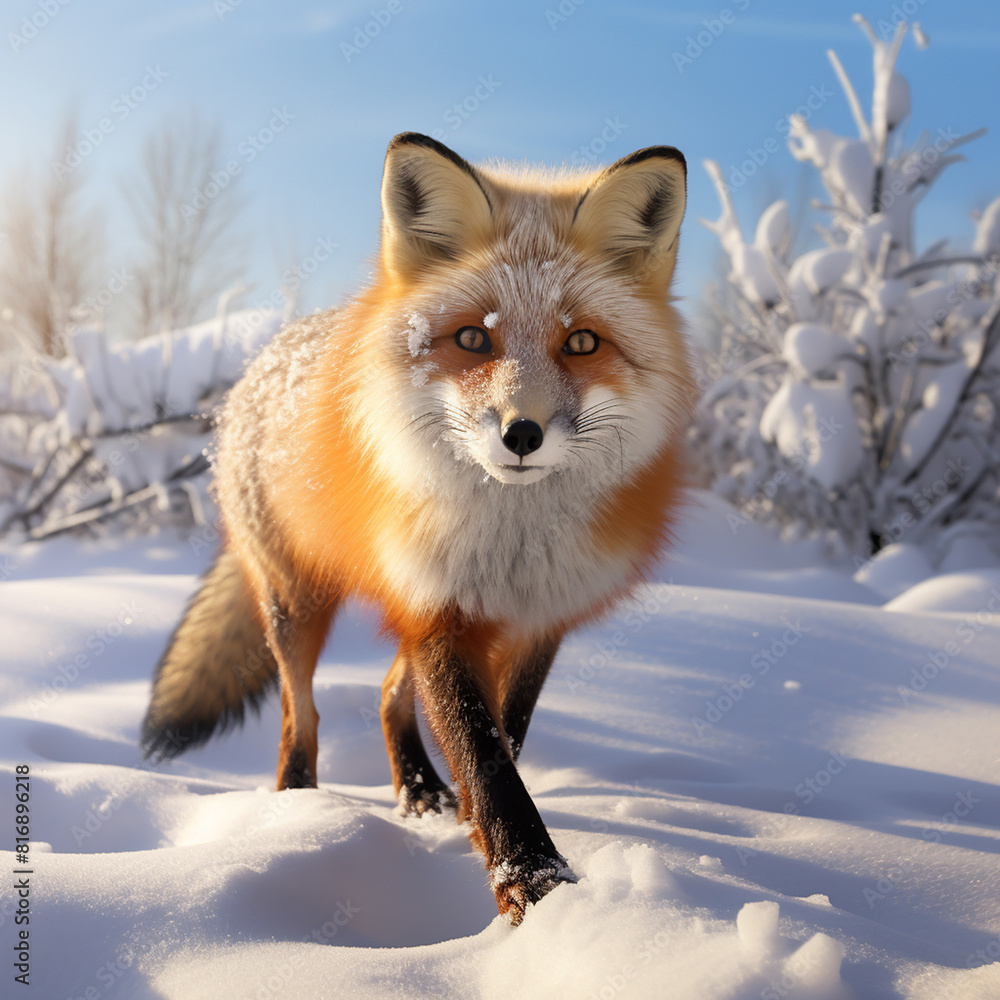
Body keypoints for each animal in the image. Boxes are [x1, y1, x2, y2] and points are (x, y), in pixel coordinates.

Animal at [141, 132, 694, 925]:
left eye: (583, 343)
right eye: (472, 339)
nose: (521, 434)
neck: (510, 545)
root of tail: (270, 354)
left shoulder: (534, 618)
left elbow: (506, 732)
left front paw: (489, 841)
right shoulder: (439, 609)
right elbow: (485, 755)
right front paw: (534, 888)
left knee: (383, 694)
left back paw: (418, 791)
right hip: (299, 605)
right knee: (299, 717)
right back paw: (298, 811)